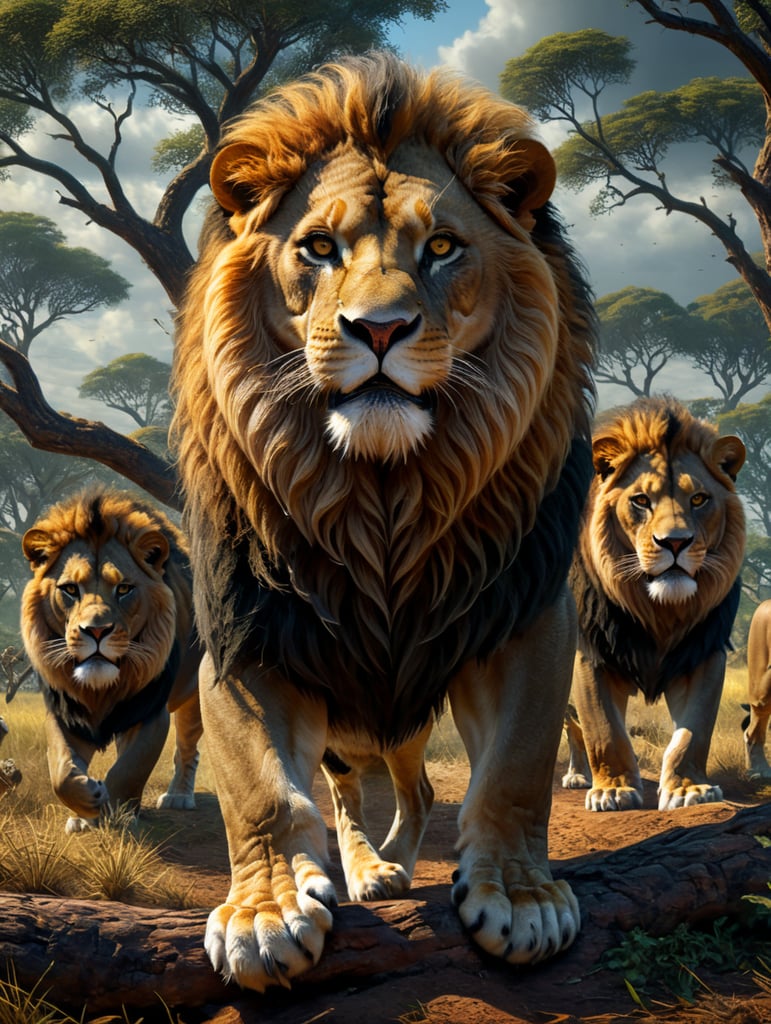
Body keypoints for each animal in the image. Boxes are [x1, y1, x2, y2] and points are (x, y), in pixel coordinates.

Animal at [20, 488, 203, 832]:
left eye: (124, 588)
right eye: (70, 589)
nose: (96, 630)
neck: (100, 689)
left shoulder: (149, 710)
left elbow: (130, 768)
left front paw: (117, 813)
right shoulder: (66, 709)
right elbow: (61, 770)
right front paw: (87, 808)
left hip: (194, 694)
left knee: (187, 747)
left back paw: (178, 796)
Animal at [172, 52, 596, 990]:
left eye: (440, 248)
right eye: (317, 248)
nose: (377, 330)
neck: (382, 501)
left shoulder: (522, 613)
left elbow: (514, 770)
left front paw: (519, 898)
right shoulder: (247, 637)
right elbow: (259, 791)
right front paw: (264, 913)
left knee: (419, 785)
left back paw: (397, 862)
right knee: (343, 791)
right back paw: (365, 869)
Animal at [564, 397, 746, 811]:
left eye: (699, 499)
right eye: (641, 501)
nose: (675, 542)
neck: (660, 612)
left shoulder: (703, 653)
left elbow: (693, 733)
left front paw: (688, 789)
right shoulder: (589, 654)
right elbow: (603, 730)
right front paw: (613, 789)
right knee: (571, 728)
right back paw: (578, 776)